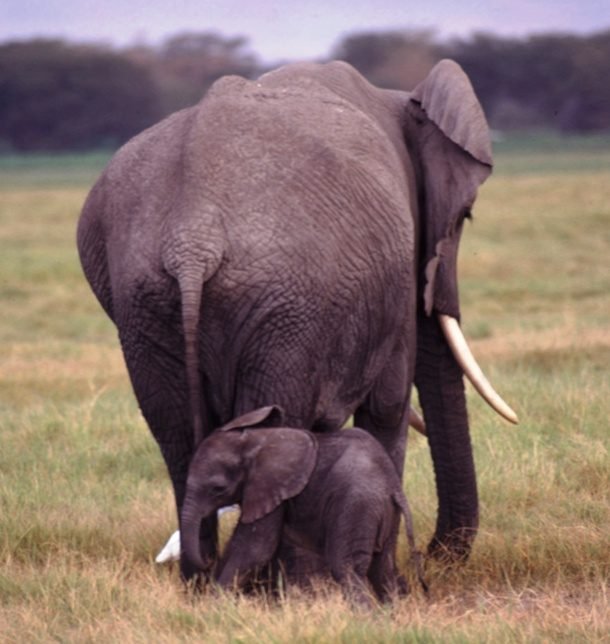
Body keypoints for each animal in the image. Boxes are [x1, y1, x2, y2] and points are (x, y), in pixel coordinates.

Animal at [76, 57, 512, 576]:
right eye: (466, 217)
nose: (437, 555)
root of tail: (192, 240)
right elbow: (387, 405)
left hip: (147, 306)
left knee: (178, 438)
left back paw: (201, 580)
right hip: (285, 306)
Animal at [180, 406, 426, 608]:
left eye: (218, 488)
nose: (206, 562)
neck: (256, 442)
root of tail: (393, 487)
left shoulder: (274, 488)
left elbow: (255, 549)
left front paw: (212, 607)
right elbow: (241, 544)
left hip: (357, 505)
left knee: (347, 569)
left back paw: (366, 623)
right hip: (385, 512)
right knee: (383, 568)